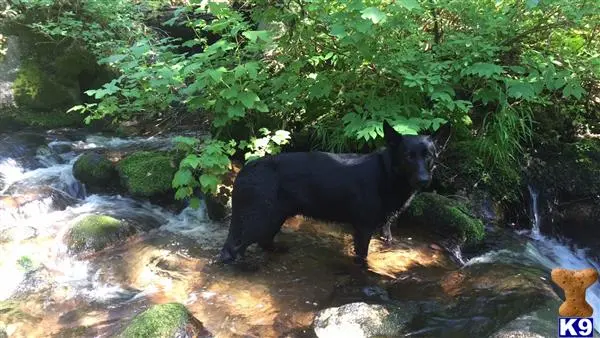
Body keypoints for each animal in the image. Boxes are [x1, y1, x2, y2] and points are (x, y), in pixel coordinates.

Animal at [217, 121, 450, 266]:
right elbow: (362, 257)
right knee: (232, 249)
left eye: (428, 155)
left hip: (274, 218)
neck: (387, 174)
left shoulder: (385, 228)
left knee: (263, 241)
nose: (423, 180)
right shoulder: (363, 228)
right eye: (408, 156)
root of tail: (247, 169)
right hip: (260, 219)